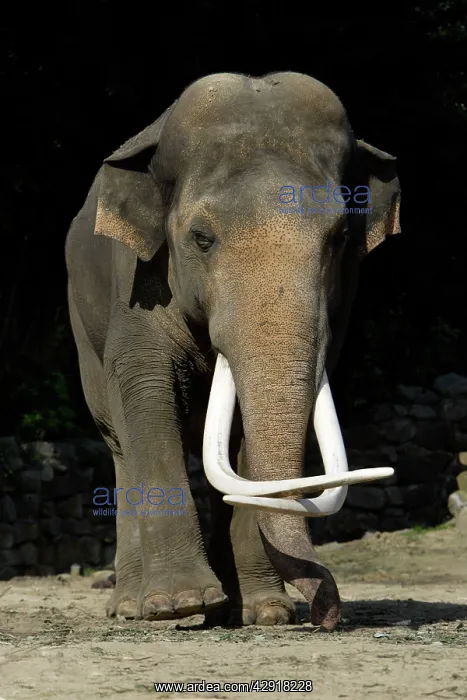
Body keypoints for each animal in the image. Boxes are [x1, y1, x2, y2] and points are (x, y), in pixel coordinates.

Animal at [65, 71, 401, 631]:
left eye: (338, 238)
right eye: (201, 238)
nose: (327, 611)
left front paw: (265, 613)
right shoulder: (136, 282)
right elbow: (146, 386)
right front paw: (179, 604)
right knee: (119, 441)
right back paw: (132, 607)